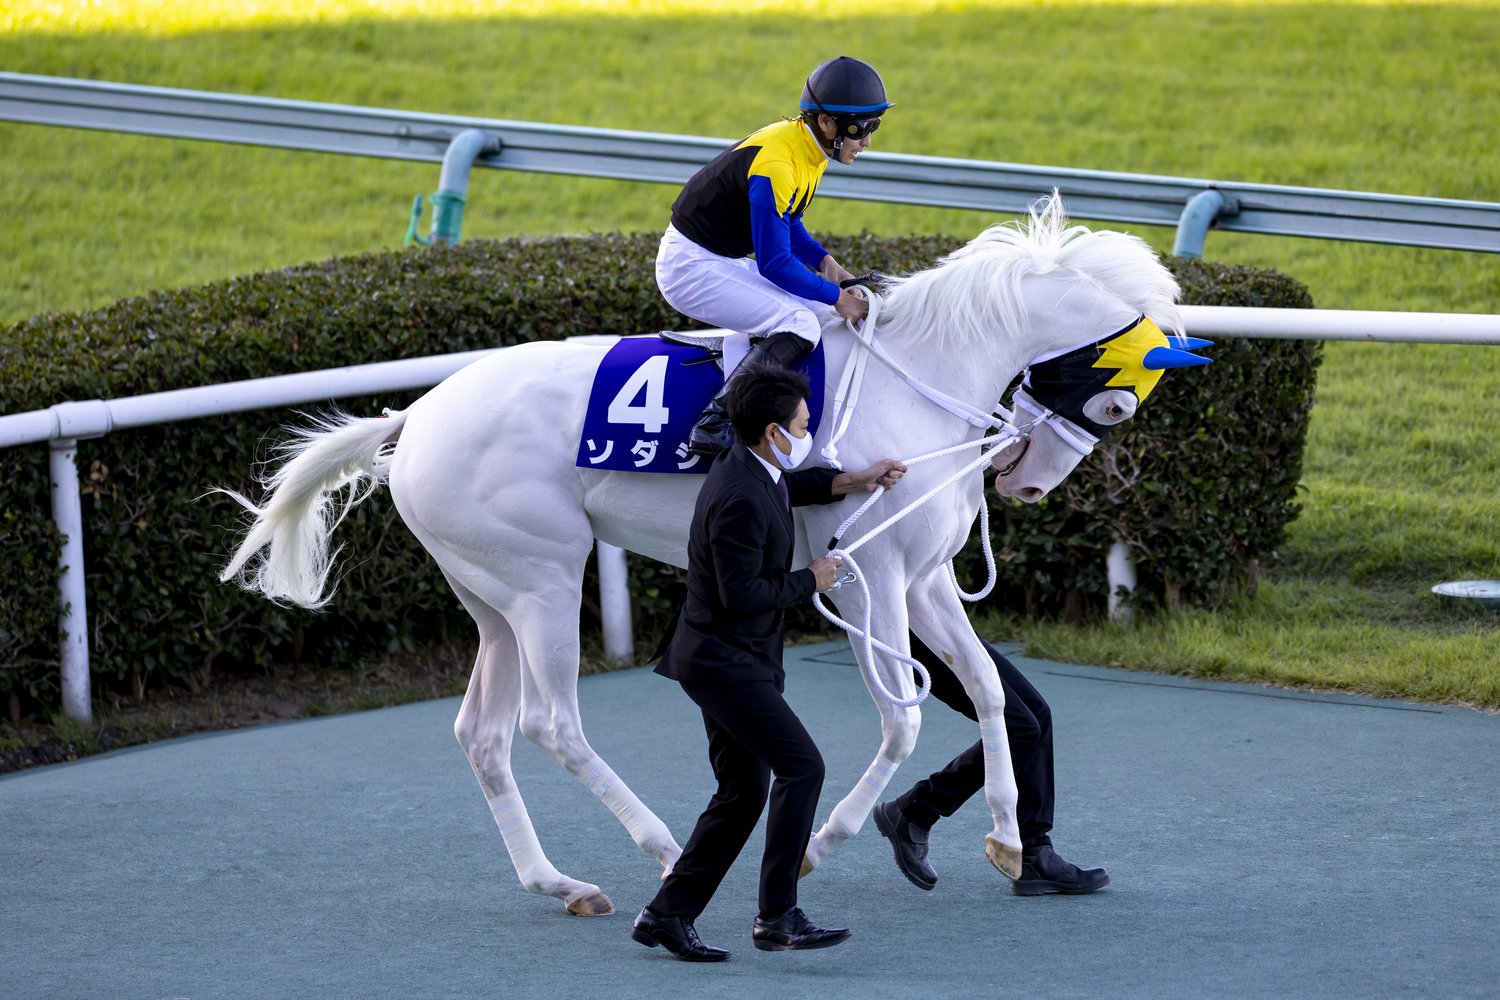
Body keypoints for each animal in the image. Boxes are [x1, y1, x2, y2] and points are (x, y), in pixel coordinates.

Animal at [217, 196, 1205, 917]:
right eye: (1116, 404)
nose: (1026, 484)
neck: (920, 381)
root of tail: (415, 414)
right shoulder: (869, 578)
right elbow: (903, 718)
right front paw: (819, 845)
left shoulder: (921, 578)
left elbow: (993, 691)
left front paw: (1008, 838)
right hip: (543, 579)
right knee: (550, 725)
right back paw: (660, 848)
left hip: (489, 595)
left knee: (483, 734)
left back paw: (560, 883)